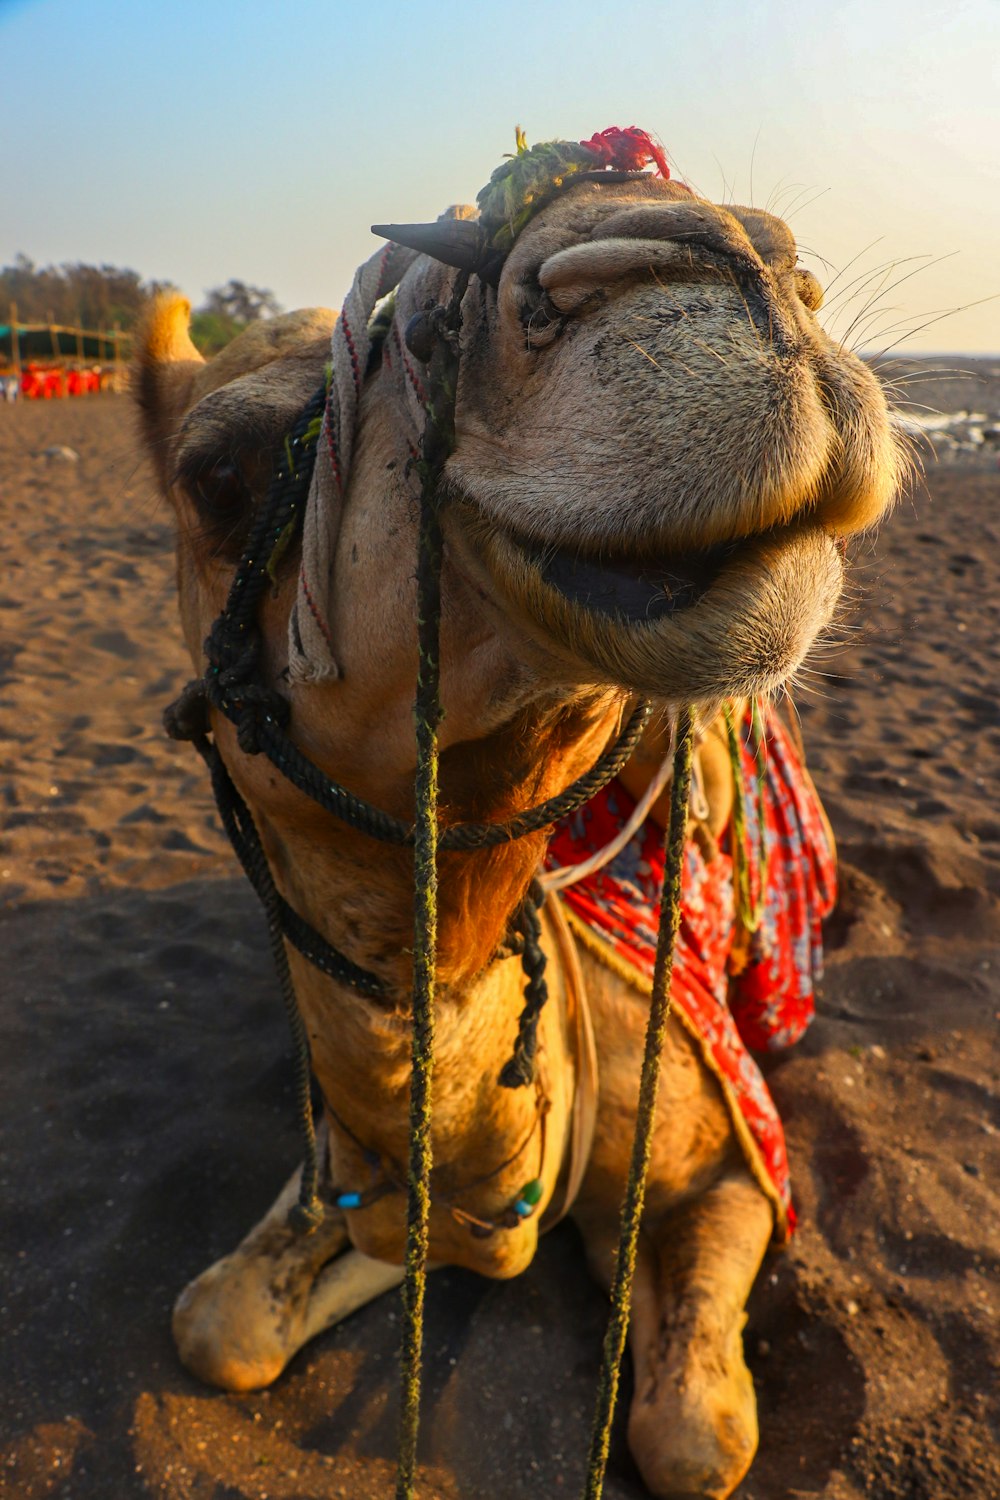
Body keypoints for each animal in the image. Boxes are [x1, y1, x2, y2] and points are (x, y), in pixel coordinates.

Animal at [131, 132, 899, 1500]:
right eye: (215, 475)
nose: (742, 258)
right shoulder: (358, 1169)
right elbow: (221, 1325)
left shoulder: (729, 1157)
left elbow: (692, 1436)